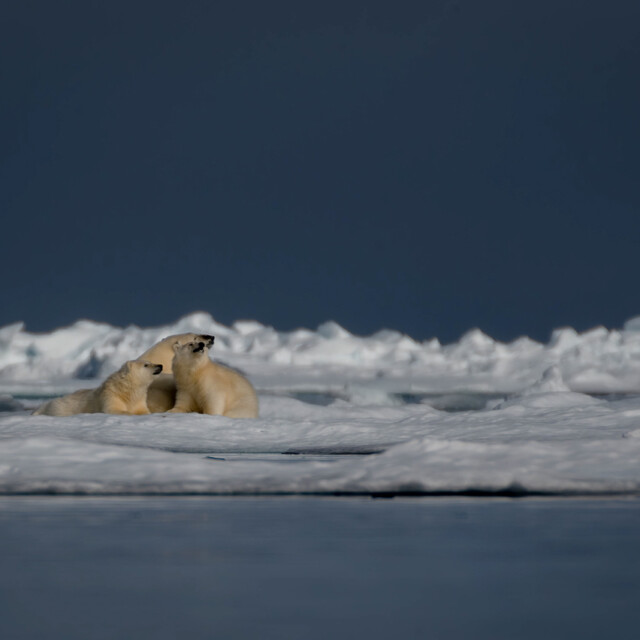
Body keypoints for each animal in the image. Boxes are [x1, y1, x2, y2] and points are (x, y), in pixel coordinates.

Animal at [33, 360, 163, 416]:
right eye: (146, 364)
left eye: (150, 361)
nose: (160, 365)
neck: (126, 390)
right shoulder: (111, 395)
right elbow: (112, 409)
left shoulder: (139, 399)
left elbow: (143, 410)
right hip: (60, 408)